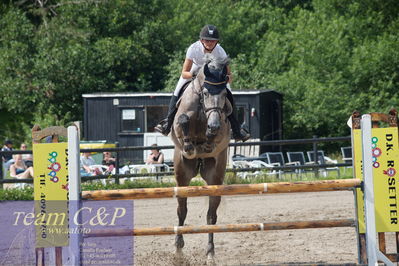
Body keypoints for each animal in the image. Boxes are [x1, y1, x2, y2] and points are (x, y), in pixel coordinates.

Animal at [170, 54, 233, 262]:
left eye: (224, 95)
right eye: (205, 93)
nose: (213, 125)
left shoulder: (222, 126)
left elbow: (214, 136)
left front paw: (208, 140)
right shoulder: (179, 122)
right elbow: (182, 120)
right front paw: (190, 145)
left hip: (214, 177)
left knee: (211, 216)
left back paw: (210, 253)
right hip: (182, 176)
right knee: (182, 211)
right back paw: (178, 249)